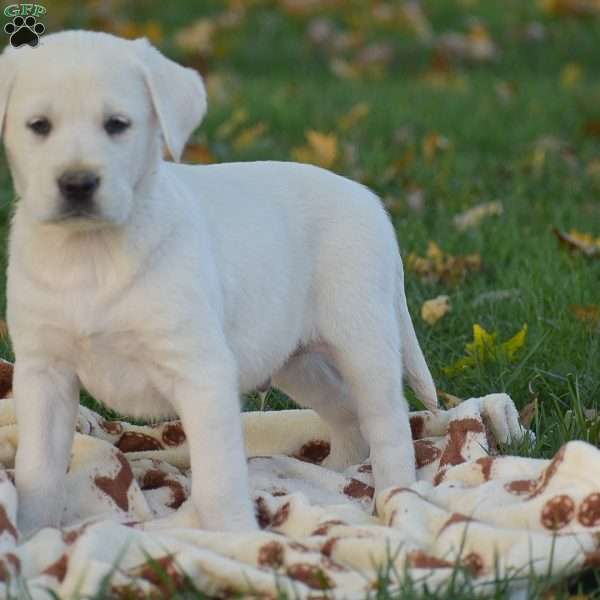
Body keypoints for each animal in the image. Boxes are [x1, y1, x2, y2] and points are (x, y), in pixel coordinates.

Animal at [0, 31, 436, 536]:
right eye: (39, 126)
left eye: (117, 125)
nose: (77, 184)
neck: (89, 254)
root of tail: (371, 201)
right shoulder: (43, 375)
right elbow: (39, 469)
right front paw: (31, 533)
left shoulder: (201, 373)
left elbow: (218, 476)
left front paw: (236, 537)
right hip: (298, 361)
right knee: (345, 414)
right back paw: (334, 478)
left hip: (364, 342)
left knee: (389, 423)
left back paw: (395, 500)